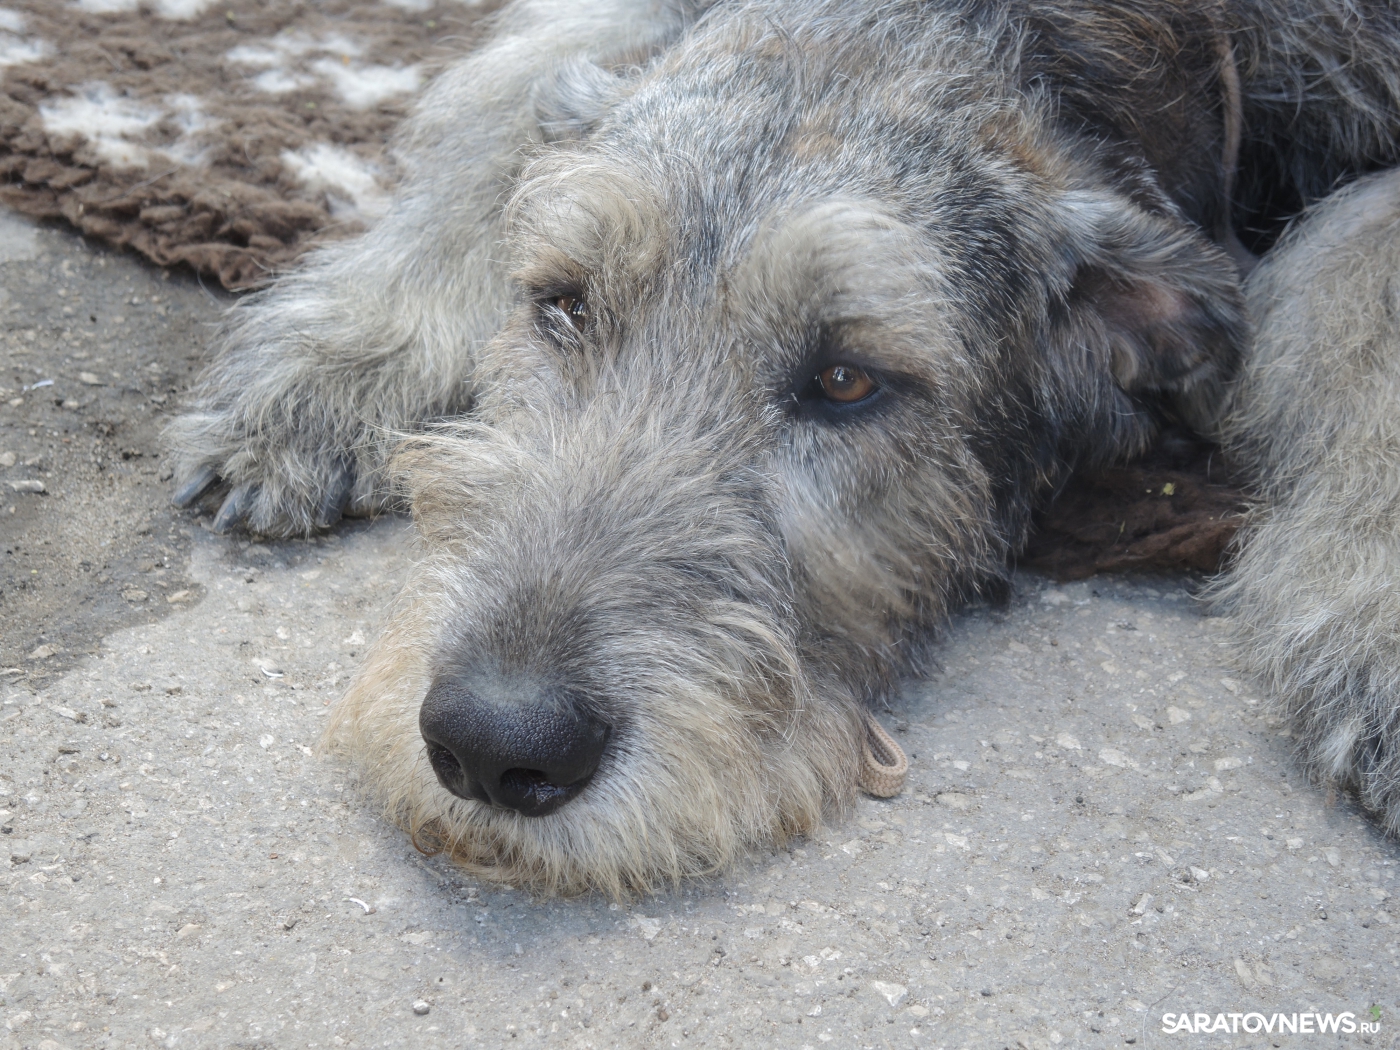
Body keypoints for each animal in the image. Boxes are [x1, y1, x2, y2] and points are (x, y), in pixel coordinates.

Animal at [168, 0, 1400, 894]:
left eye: (846, 380)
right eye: (561, 303)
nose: (492, 741)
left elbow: (1364, 259)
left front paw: (1371, 625)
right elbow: (522, 95)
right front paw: (335, 359)